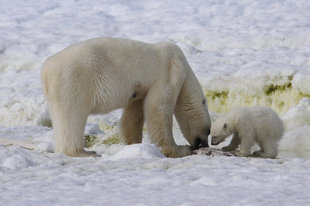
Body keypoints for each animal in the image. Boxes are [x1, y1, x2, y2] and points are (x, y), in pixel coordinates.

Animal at [41, 36, 211, 158]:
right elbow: (158, 109)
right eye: (208, 131)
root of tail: (46, 69)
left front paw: (134, 144)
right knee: (72, 116)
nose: (204, 145)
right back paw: (83, 152)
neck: (185, 70)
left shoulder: (140, 90)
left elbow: (134, 115)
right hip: (74, 81)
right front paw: (180, 149)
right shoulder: (169, 73)